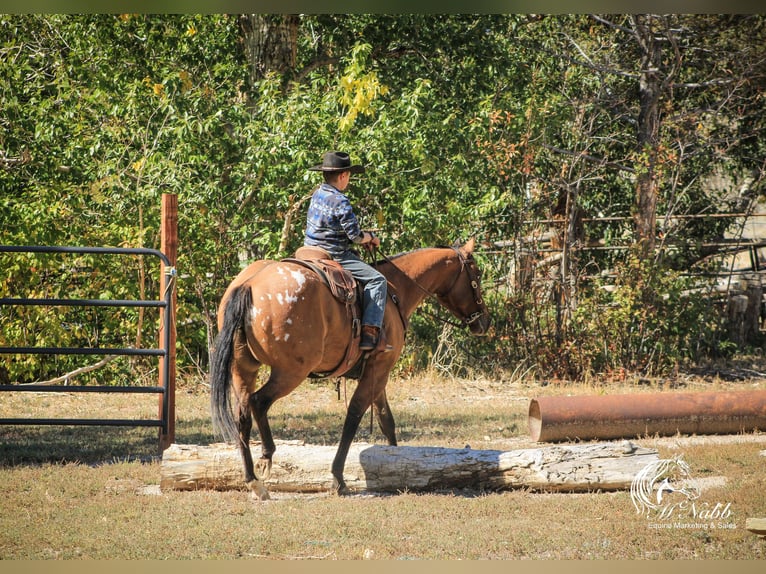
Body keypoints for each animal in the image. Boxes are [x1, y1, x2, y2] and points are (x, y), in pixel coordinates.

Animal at [208, 238, 492, 500]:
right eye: (476, 275)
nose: (485, 322)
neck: (395, 290)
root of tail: (249, 284)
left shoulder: (378, 372)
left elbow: (386, 420)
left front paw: (397, 464)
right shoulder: (379, 369)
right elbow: (354, 416)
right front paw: (338, 478)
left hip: (243, 368)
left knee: (242, 415)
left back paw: (253, 482)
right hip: (290, 372)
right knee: (259, 402)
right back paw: (267, 456)